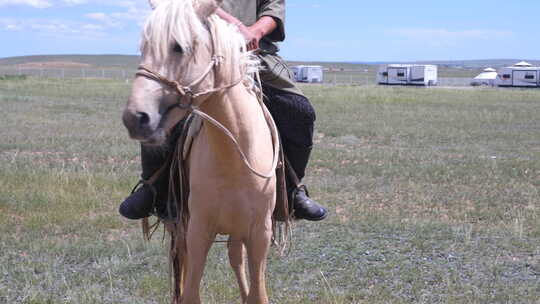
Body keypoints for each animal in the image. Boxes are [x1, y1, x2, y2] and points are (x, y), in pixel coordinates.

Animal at [120, 0, 284, 302]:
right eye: (144, 47)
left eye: (179, 47)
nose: (135, 118)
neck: (234, 156)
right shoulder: (197, 231)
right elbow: (190, 291)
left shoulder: (260, 234)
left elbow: (257, 293)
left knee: (235, 258)